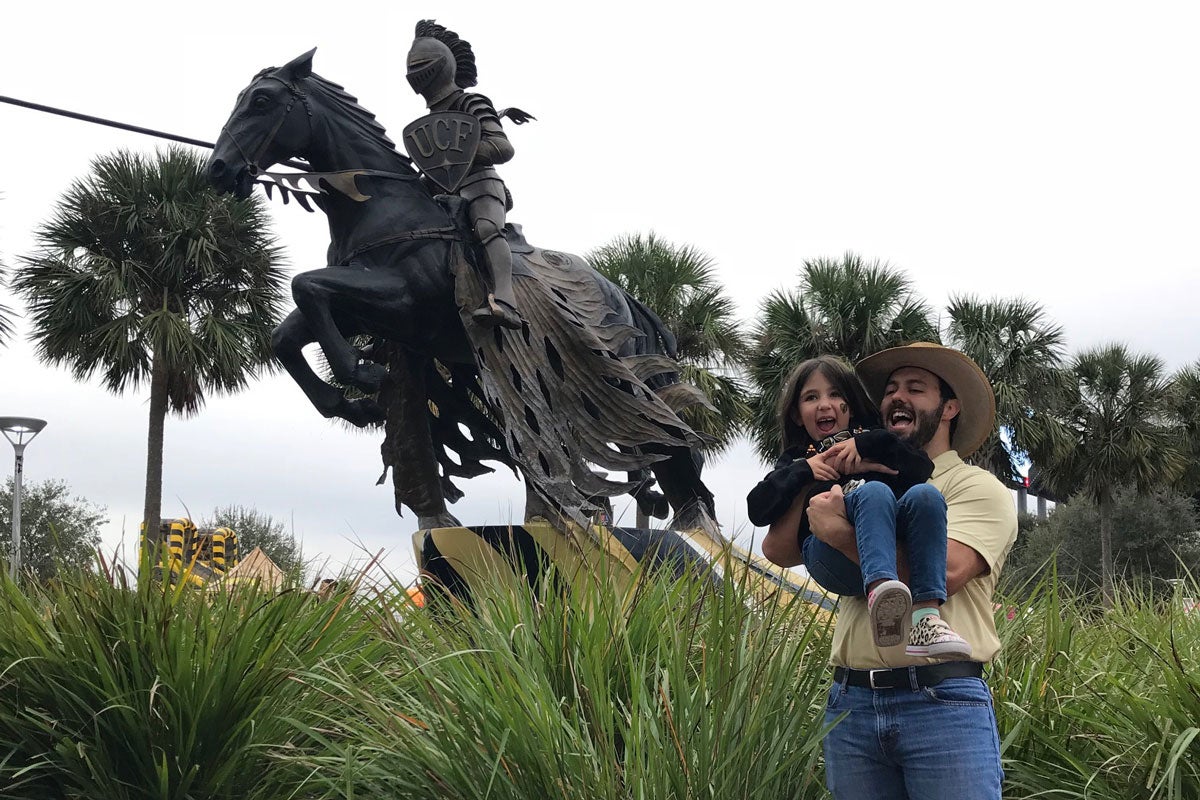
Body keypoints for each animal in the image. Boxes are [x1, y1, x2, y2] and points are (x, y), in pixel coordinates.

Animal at [208, 47, 710, 527]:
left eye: (261, 101)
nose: (218, 169)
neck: (381, 205)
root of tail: (622, 295)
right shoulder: (363, 311)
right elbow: (286, 332)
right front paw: (350, 405)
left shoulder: (403, 302)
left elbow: (306, 284)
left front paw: (363, 375)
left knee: (659, 437)